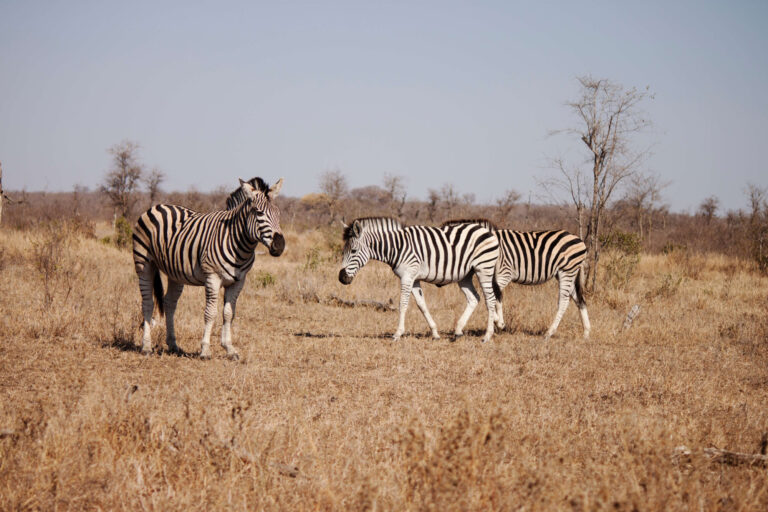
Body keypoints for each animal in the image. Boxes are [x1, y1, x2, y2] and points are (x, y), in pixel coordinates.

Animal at [132, 177, 285, 360]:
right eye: (259, 213)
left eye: (278, 214)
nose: (280, 245)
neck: (239, 244)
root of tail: (156, 206)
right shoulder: (213, 277)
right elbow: (210, 313)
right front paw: (205, 350)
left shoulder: (239, 281)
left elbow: (229, 313)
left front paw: (229, 348)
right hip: (144, 264)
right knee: (147, 303)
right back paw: (146, 347)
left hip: (175, 273)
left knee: (169, 303)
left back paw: (173, 345)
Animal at [338, 217, 500, 342]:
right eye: (343, 252)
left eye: (354, 251)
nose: (341, 278)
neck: (397, 247)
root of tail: (487, 231)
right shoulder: (414, 278)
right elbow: (422, 305)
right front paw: (435, 333)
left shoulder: (407, 276)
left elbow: (403, 304)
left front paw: (397, 334)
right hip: (465, 275)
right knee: (474, 298)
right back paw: (458, 331)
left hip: (484, 269)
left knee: (490, 300)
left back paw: (487, 336)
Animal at [442, 219, 590, 339]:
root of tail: (579, 239)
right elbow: (496, 297)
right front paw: (498, 322)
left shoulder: (504, 273)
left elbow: (496, 297)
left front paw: (499, 323)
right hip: (566, 274)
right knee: (579, 299)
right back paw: (586, 333)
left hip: (567, 271)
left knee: (564, 302)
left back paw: (549, 333)